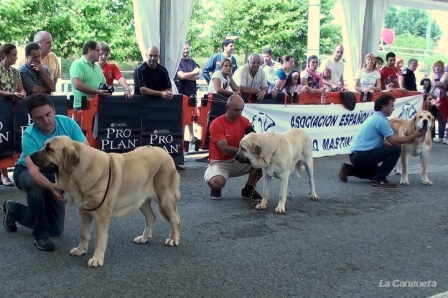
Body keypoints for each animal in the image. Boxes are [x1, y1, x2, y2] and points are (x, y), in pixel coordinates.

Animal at [29, 136, 181, 266]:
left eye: (50, 149)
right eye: (44, 146)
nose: (30, 156)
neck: (79, 171)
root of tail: (165, 152)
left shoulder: (101, 216)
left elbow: (99, 239)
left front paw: (97, 259)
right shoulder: (84, 212)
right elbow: (83, 233)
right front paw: (80, 250)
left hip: (165, 198)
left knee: (175, 218)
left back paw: (173, 239)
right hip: (140, 199)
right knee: (151, 217)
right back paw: (144, 237)